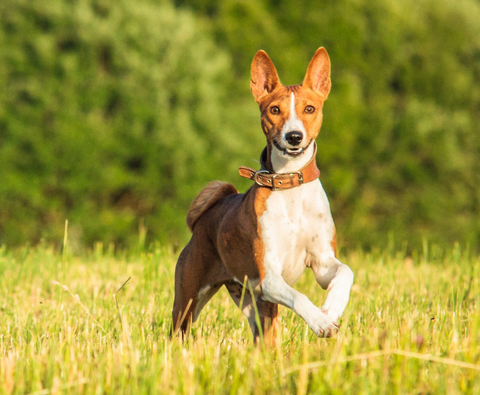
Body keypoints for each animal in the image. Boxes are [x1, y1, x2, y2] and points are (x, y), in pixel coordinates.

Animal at [172, 47, 352, 344]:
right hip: (189, 299)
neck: (290, 187)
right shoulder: (270, 277)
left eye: (310, 109)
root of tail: (207, 216)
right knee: (177, 331)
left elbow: (346, 272)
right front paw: (320, 322)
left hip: (255, 304)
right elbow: (300, 297)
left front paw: (333, 307)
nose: (294, 136)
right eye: (275, 110)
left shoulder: (322, 263)